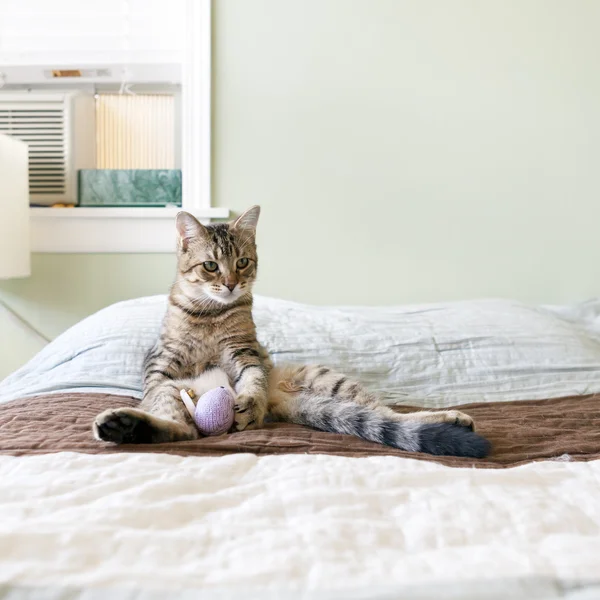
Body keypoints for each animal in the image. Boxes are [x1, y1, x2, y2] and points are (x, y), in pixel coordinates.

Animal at [92, 207, 488, 460]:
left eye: (242, 262)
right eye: (211, 266)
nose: (232, 283)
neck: (211, 315)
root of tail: (279, 405)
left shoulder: (246, 353)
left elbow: (251, 380)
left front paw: (249, 402)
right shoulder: (161, 369)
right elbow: (166, 401)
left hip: (327, 378)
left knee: (387, 414)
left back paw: (453, 419)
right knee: (186, 429)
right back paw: (127, 427)